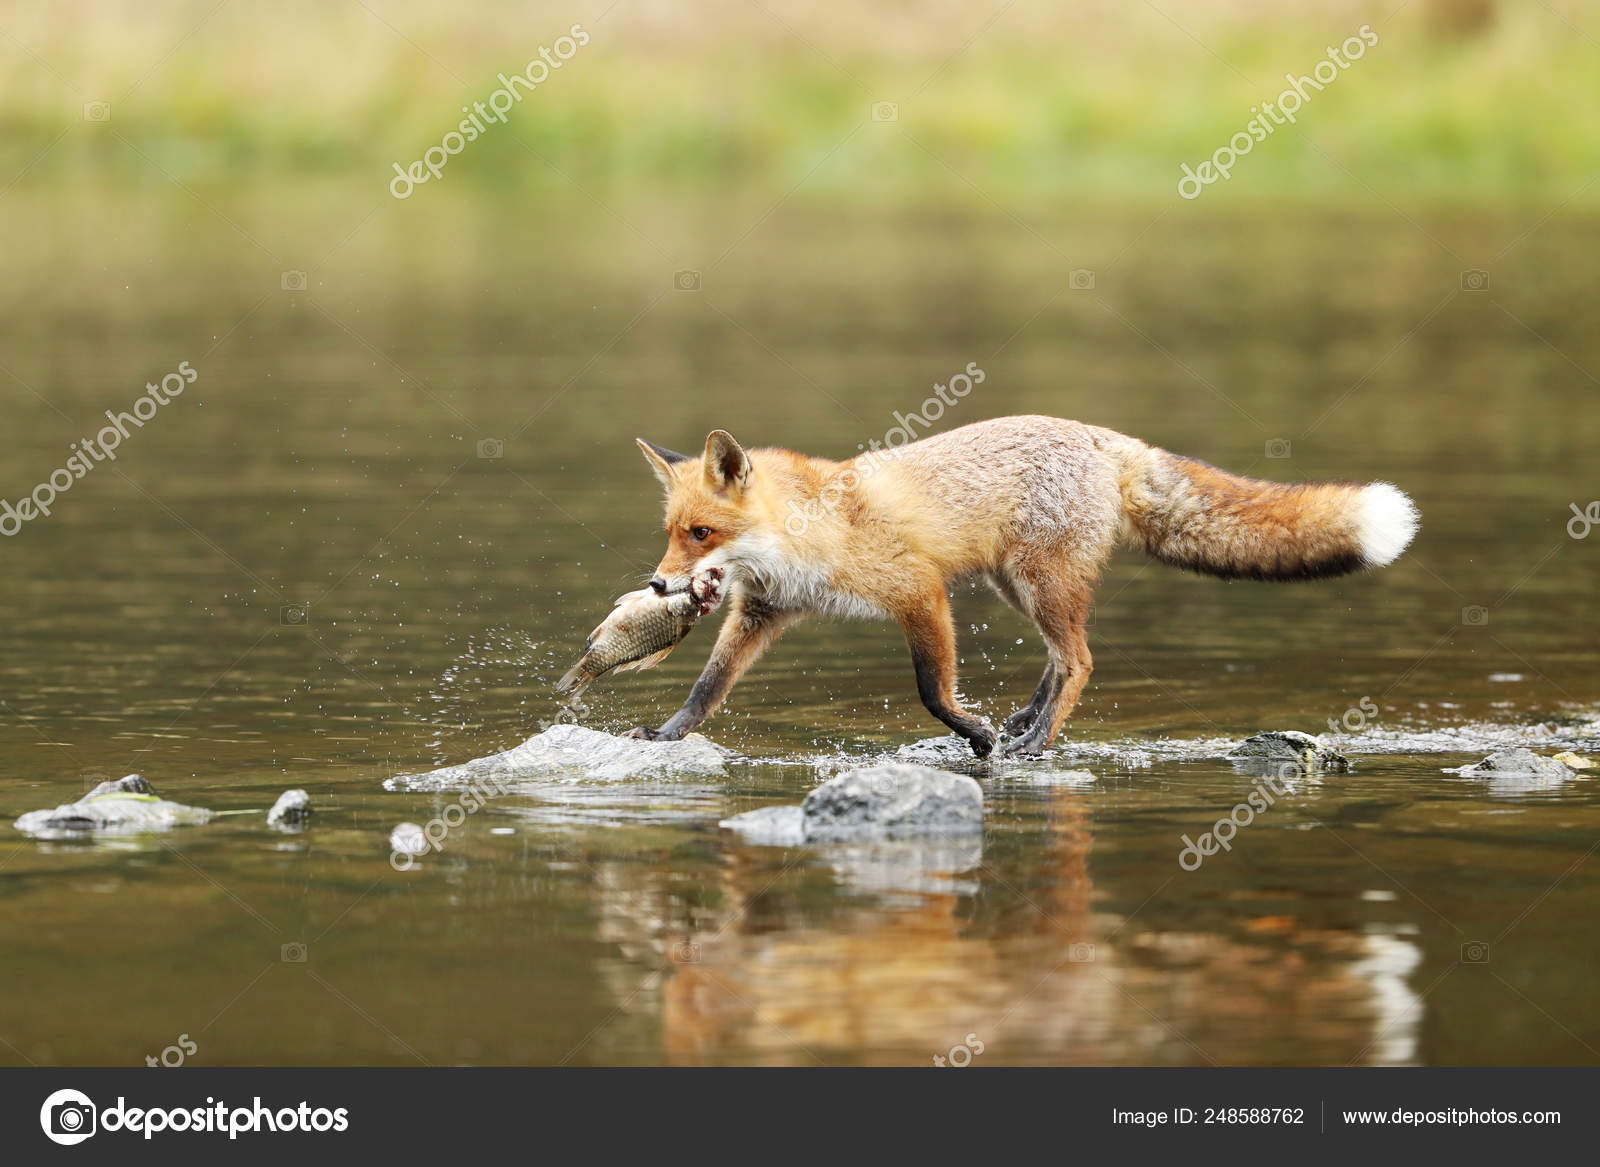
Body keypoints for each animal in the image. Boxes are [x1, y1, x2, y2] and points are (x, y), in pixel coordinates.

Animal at [624, 416, 1418, 757]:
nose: (659, 582)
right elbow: (707, 688)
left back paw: (1034, 741)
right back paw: (1027, 721)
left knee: (1081, 662)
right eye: (670, 531)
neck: (809, 529)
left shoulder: (920, 591)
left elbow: (931, 691)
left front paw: (973, 734)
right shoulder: (762, 612)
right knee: (1061, 660)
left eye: (701, 533)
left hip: (1040, 584)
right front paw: (664, 733)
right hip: (1019, 587)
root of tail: (1104, 436)